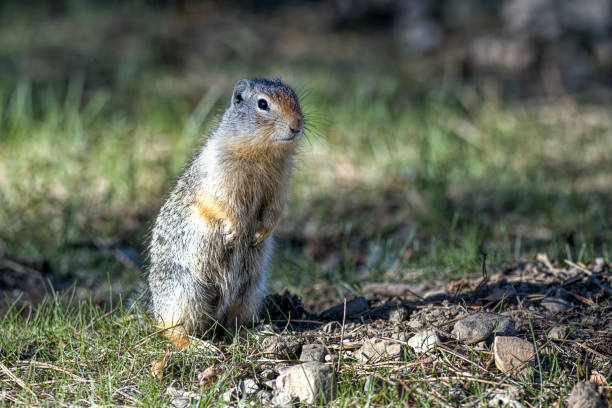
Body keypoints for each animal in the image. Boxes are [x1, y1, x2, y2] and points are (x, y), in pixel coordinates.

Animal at [146, 77, 304, 348]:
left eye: (294, 97)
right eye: (263, 104)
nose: (297, 125)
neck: (262, 154)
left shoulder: (280, 185)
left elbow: (274, 211)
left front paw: (260, 234)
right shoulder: (220, 176)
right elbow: (224, 204)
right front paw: (235, 232)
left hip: (251, 291)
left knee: (233, 324)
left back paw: (257, 331)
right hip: (185, 292)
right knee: (171, 330)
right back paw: (198, 345)